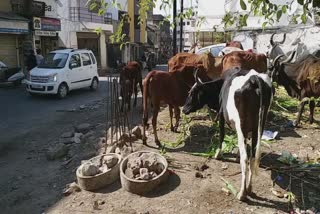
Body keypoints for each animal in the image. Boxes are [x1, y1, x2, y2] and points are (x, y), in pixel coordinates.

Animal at [184, 68, 274, 201]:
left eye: (192, 93)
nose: (183, 109)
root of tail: (254, 79)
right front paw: (235, 155)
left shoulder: (221, 114)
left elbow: (221, 134)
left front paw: (218, 154)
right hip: (259, 126)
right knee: (252, 157)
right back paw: (249, 188)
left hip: (241, 125)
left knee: (245, 158)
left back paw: (242, 193)